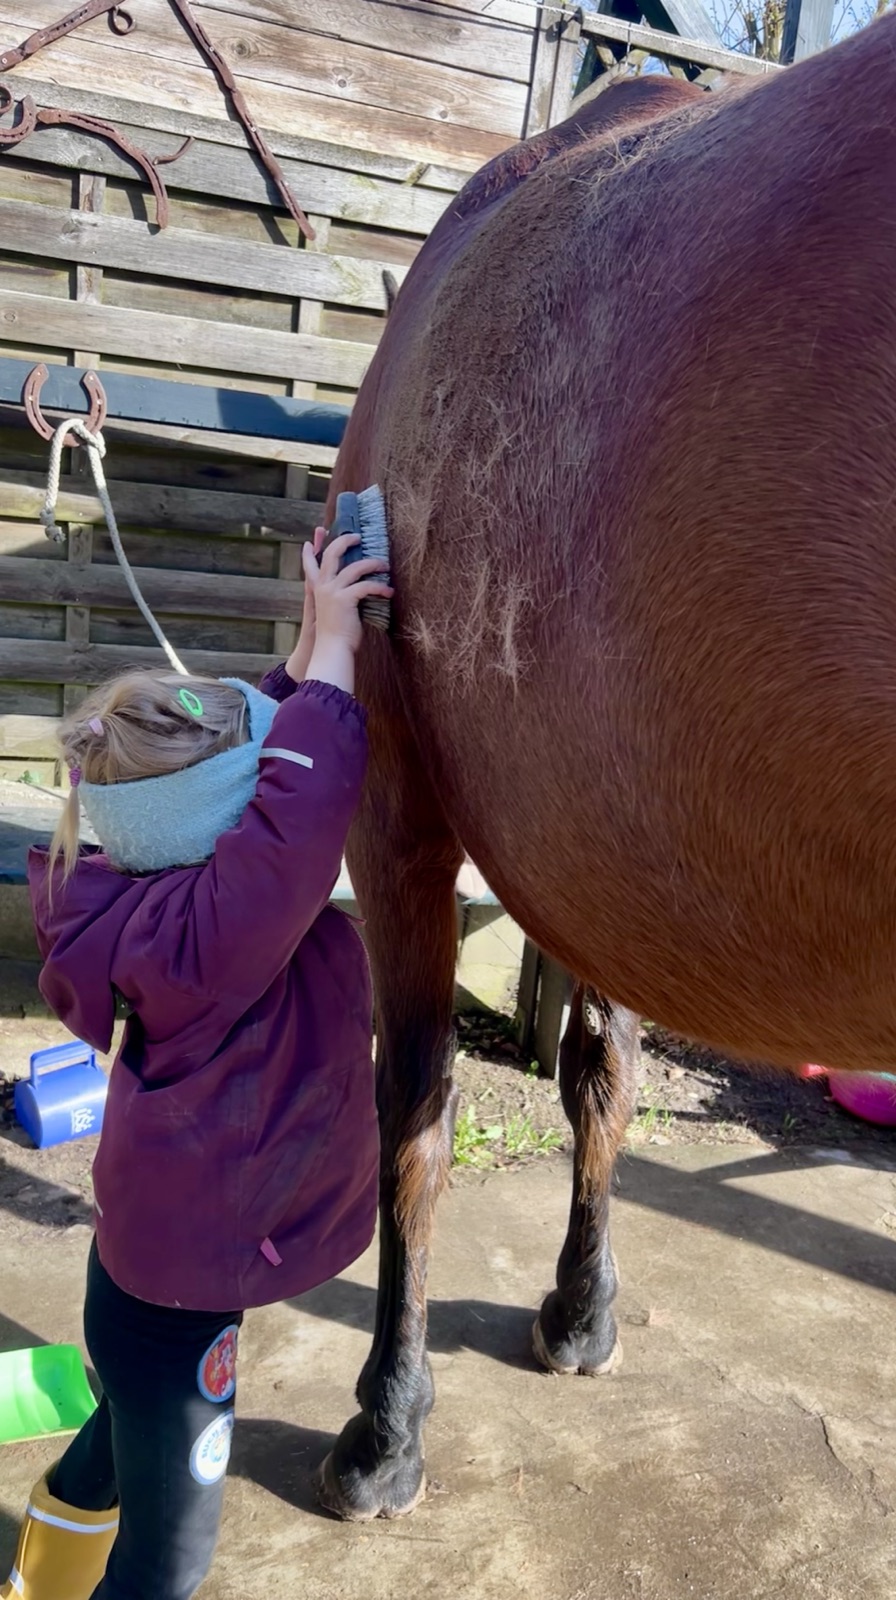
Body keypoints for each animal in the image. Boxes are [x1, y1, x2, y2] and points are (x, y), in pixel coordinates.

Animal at [314, 15, 896, 1520]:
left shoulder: (394, 804)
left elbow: (412, 1110)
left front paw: (385, 1421)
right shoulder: (617, 838)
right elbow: (601, 1075)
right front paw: (582, 1308)